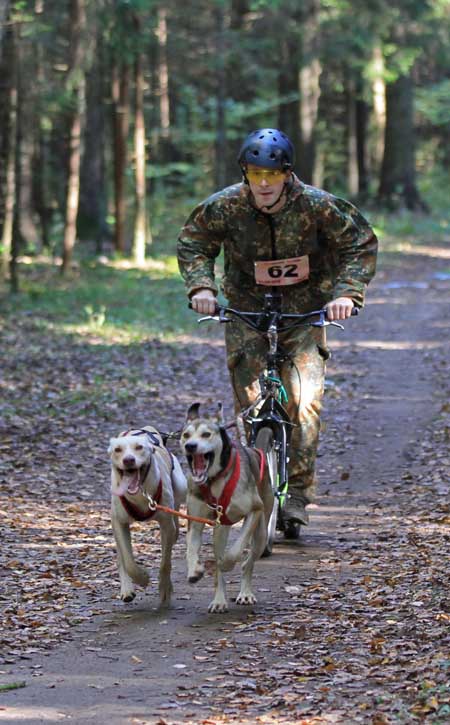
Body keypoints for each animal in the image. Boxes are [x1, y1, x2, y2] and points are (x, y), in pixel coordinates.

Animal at [109, 424, 186, 604]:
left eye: (139, 447)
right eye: (117, 449)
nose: (128, 460)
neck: (140, 494)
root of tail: (146, 428)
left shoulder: (166, 525)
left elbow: (165, 563)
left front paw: (164, 588)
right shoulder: (120, 522)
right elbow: (128, 561)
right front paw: (142, 578)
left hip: (181, 489)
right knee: (121, 556)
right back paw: (126, 589)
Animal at [180, 402, 274, 612]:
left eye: (206, 434)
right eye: (185, 435)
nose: (190, 446)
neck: (214, 480)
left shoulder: (254, 510)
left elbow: (237, 549)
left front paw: (228, 563)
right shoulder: (194, 522)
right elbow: (191, 549)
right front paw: (194, 570)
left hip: (261, 534)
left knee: (247, 563)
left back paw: (245, 593)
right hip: (220, 531)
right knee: (219, 568)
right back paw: (219, 600)